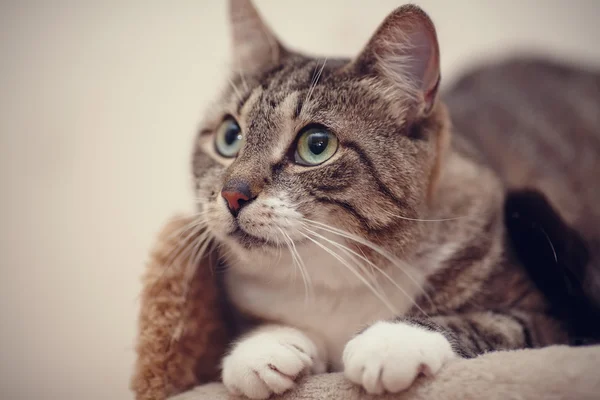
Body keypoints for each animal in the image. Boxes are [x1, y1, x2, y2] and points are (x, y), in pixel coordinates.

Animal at [191, 1, 596, 398]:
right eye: (229, 136)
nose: (232, 193)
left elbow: (496, 324)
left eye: (316, 145)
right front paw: (264, 347)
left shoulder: (553, 316)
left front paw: (390, 341)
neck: (341, 276)